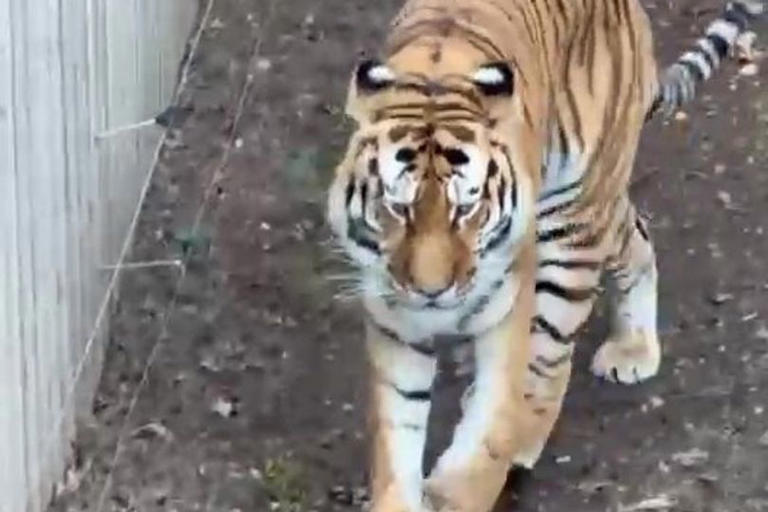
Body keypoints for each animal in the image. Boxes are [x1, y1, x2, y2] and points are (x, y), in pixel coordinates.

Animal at [325, 1, 763, 511]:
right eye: (398, 206)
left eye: (466, 208)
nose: (432, 292)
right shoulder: (397, 326)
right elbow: (396, 442)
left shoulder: (505, 317)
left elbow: (484, 445)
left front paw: (457, 488)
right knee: (636, 233)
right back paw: (632, 346)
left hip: (574, 221)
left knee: (549, 359)